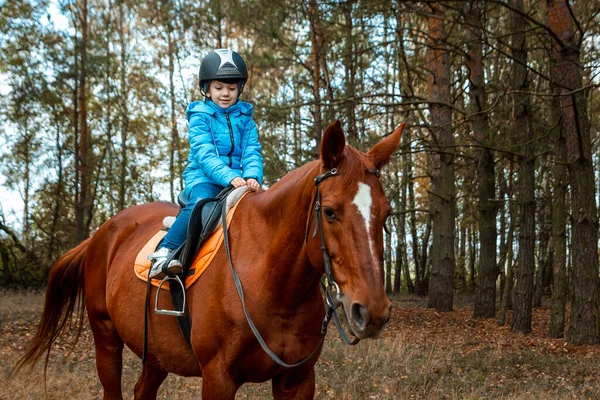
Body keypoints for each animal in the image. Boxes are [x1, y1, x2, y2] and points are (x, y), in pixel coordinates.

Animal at [16, 120, 406, 398]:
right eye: (329, 212)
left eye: (387, 213)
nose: (372, 311)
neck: (272, 283)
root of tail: (102, 233)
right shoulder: (218, 378)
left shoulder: (298, 379)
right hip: (106, 338)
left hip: (156, 353)